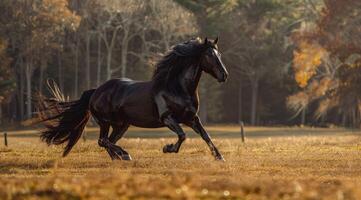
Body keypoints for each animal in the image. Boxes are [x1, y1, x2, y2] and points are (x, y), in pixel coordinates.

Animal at [36, 37, 228, 161]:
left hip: (122, 125)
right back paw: (124, 154)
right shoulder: (167, 118)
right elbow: (182, 135)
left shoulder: (191, 118)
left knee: (108, 142)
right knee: (103, 140)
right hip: (105, 121)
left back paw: (120, 157)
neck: (176, 88)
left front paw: (219, 157)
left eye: (219, 55)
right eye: (210, 55)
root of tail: (96, 91)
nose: (224, 75)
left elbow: (205, 135)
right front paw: (167, 148)